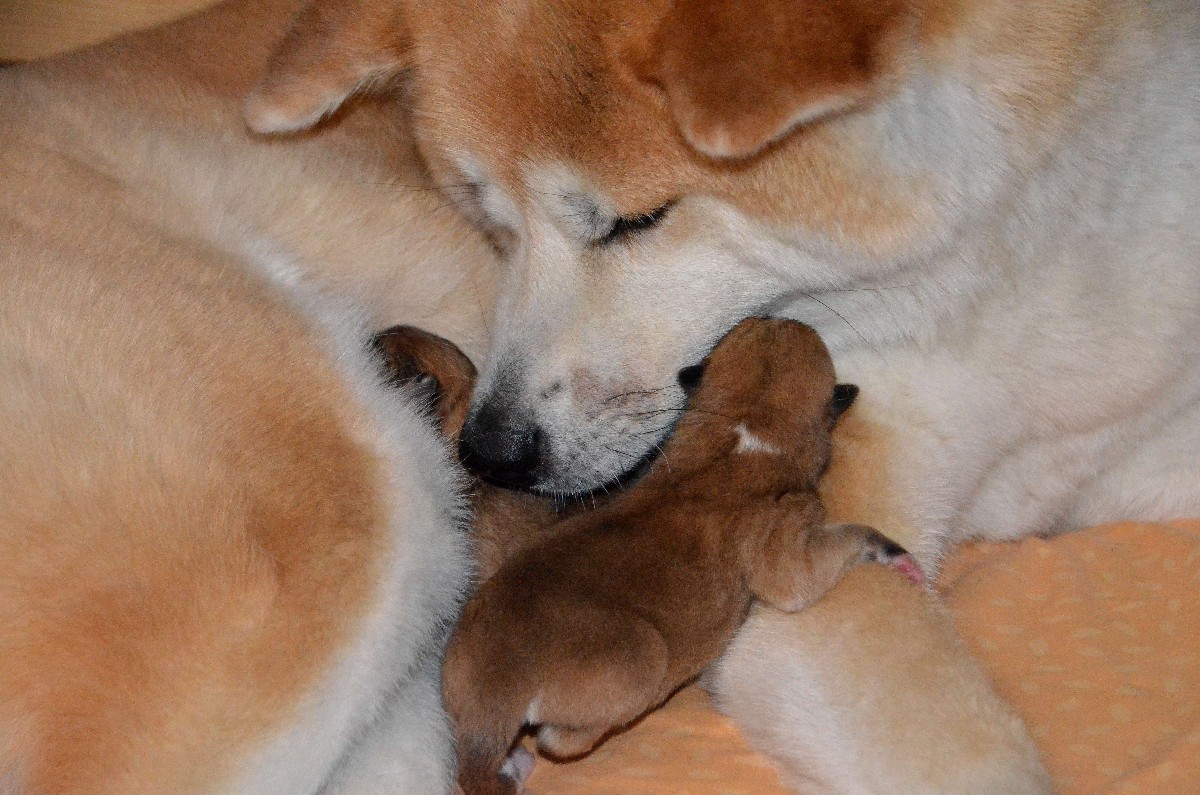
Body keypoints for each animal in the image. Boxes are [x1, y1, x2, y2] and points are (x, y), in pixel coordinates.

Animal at [377, 320, 920, 795]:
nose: (785, 317)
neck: (739, 434)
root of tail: (496, 690)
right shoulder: (784, 545)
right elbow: (816, 563)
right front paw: (888, 550)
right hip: (642, 663)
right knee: (560, 740)